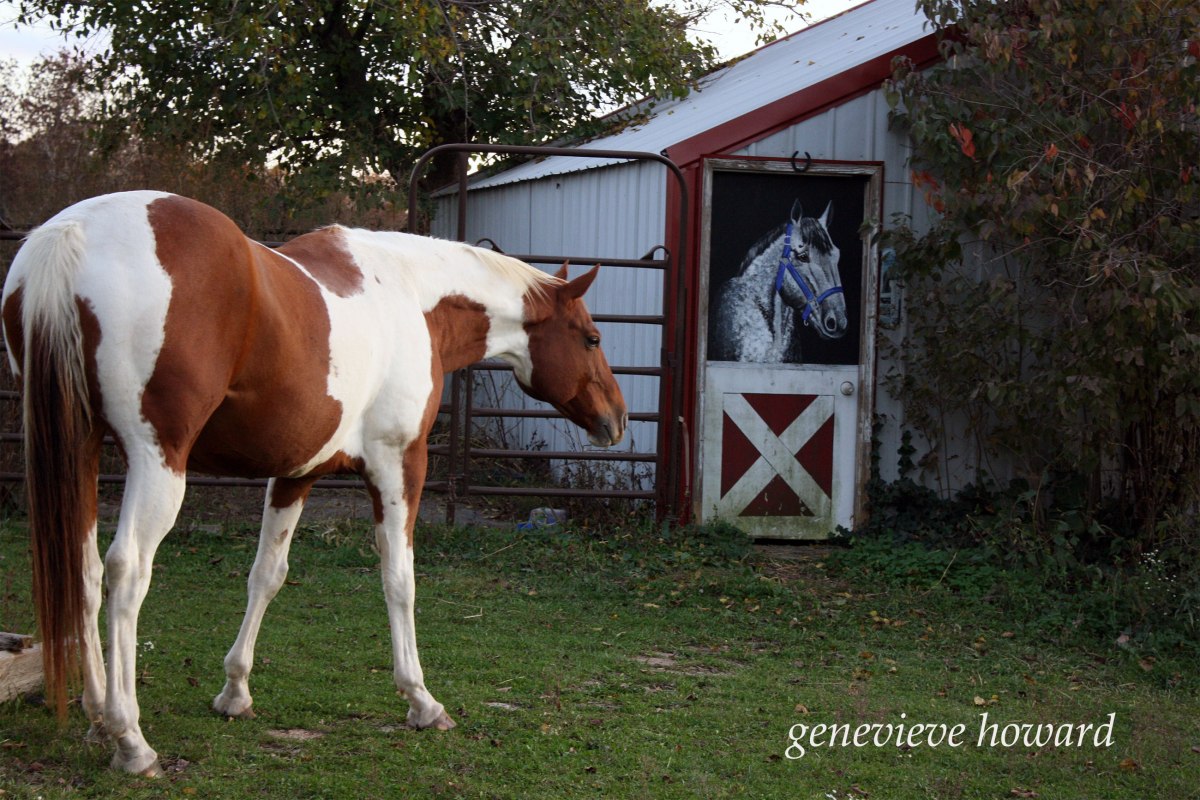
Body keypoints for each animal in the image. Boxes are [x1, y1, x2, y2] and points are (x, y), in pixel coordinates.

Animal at [1, 191, 627, 776]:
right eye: (592, 339)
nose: (616, 420)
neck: (413, 296)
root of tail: (73, 232)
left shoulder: (296, 474)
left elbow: (267, 576)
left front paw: (235, 692)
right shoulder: (400, 463)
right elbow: (399, 579)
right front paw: (421, 700)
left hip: (81, 450)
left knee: (81, 571)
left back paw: (95, 715)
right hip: (158, 463)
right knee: (127, 570)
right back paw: (130, 739)